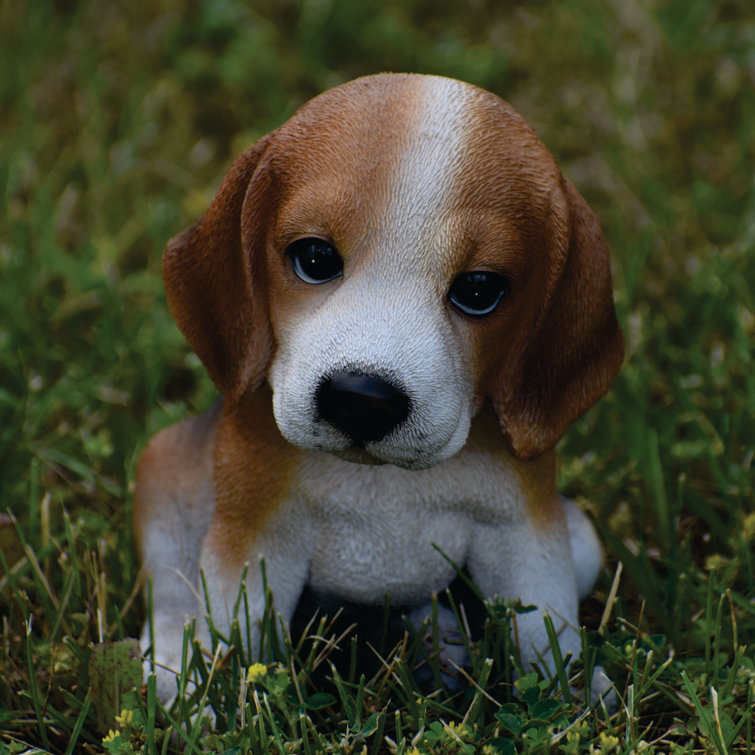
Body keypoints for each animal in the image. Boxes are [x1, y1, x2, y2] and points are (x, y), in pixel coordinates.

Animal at [134, 72, 620, 704]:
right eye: (315, 258)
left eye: (479, 290)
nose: (361, 399)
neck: (382, 484)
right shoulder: (255, 537)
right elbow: (233, 638)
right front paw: (212, 704)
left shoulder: (524, 532)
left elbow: (548, 632)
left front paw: (578, 699)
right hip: (166, 481)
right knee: (171, 594)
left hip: (580, 538)